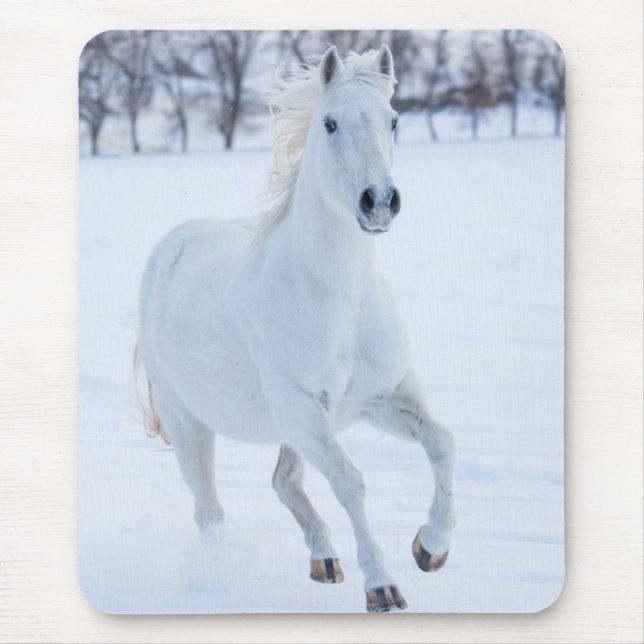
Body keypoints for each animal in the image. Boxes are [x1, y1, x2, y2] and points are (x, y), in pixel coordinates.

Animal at [136, 44, 456, 613]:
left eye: (393, 119)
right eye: (329, 123)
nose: (380, 201)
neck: (341, 299)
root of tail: (171, 245)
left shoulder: (382, 398)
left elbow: (442, 444)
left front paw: (430, 547)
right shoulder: (306, 410)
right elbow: (350, 482)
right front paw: (383, 586)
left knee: (283, 481)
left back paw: (324, 560)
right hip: (190, 422)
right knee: (209, 513)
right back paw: (220, 580)